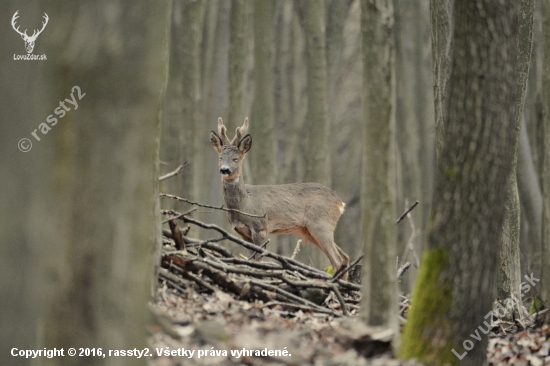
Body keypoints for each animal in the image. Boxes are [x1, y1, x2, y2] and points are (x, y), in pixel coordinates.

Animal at [209, 117, 352, 280]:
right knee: (345, 257)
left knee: (338, 260)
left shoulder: (261, 227)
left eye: (236, 158)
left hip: (321, 224)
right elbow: (250, 260)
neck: (245, 204)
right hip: (311, 230)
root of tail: (340, 203)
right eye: (220, 157)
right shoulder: (243, 233)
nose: (224, 170)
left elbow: (259, 260)